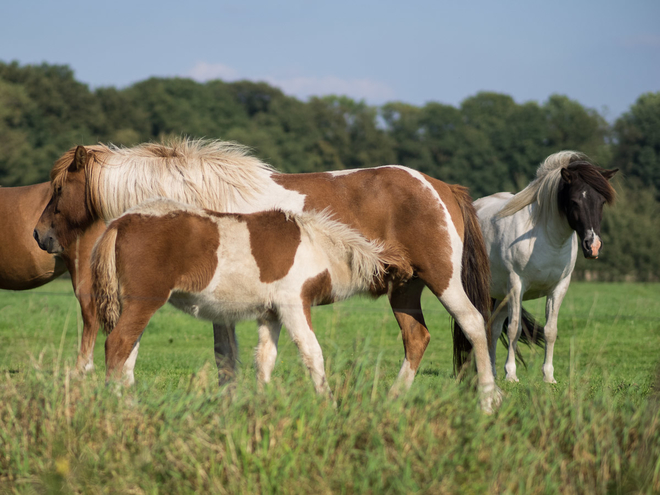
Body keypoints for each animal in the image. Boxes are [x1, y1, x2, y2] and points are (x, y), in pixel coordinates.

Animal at [92, 199, 410, 396]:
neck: (317, 248)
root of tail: (121, 221)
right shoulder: (293, 305)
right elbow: (312, 353)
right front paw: (328, 403)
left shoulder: (270, 314)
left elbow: (265, 359)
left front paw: (261, 403)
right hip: (144, 302)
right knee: (117, 344)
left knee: (128, 351)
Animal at [474, 151, 620, 384]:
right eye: (574, 201)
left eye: (602, 201)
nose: (593, 246)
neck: (545, 238)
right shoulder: (516, 285)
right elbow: (514, 329)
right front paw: (511, 375)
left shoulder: (558, 288)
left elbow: (550, 330)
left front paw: (548, 376)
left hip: (501, 295)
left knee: (494, 328)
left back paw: (493, 373)